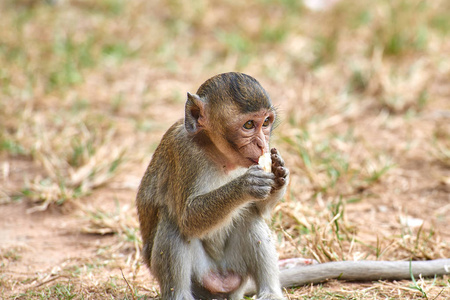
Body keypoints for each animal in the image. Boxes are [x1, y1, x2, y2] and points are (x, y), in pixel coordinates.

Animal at [137, 71, 450, 298]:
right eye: (248, 126)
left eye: (266, 122)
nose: (263, 143)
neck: (217, 153)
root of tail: (223, 285)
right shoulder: (183, 154)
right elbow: (187, 218)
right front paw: (245, 185)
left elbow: (259, 211)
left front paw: (280, 174)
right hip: (201, 277)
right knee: (174, 223)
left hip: (233, 272)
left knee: (249, 218)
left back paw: (270, 293)